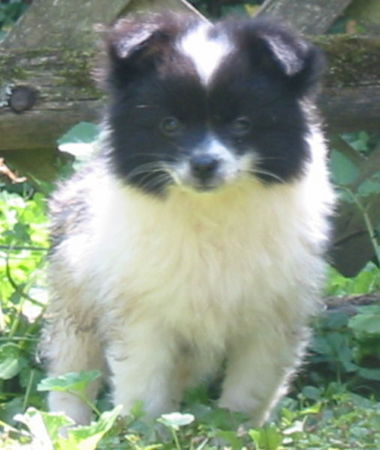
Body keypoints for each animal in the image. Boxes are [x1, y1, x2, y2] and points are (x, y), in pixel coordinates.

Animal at [42, 11, 336, 426]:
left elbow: (250, 389)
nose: (204, 165)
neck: (210, 210)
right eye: (170, 125)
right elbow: (143, 387)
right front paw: (145, 431)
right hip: (75, 294)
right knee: (71, 371)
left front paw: (235, 429)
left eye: (242, 124)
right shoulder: (142, 313)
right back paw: (66, 426)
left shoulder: (272, 316)